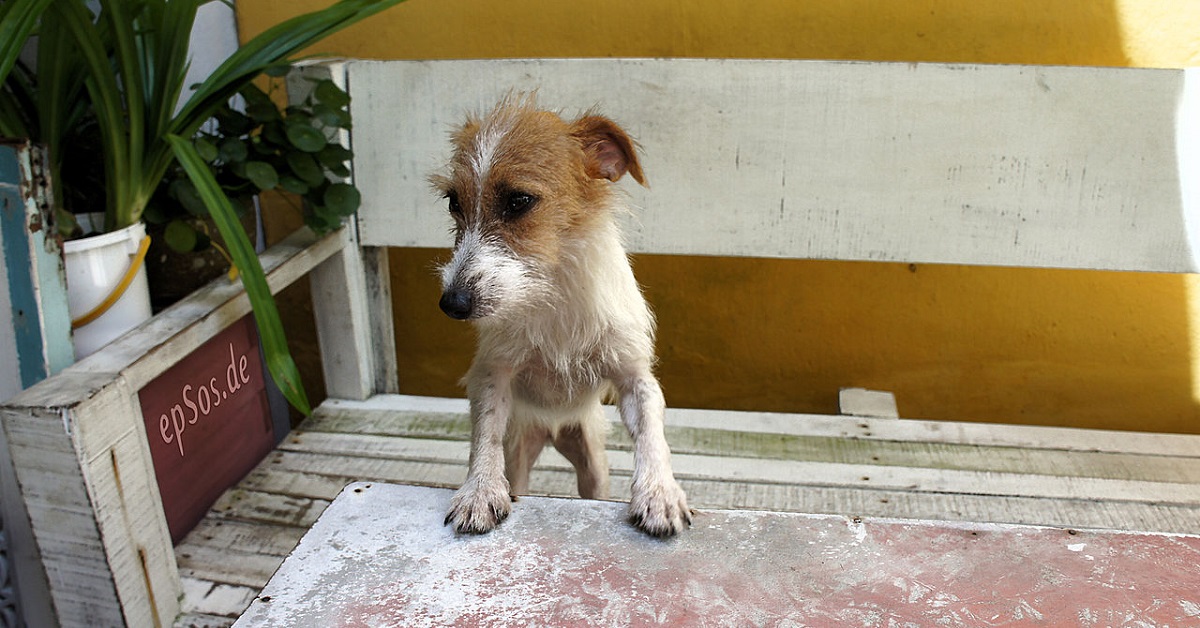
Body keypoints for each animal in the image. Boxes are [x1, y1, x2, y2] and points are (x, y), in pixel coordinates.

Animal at [436, 97, 691, 535]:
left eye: (518, 200)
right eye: (453, 202)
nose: (452, 303)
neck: (551, 291)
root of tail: (551, 430)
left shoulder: (635, 377)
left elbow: (652, 436)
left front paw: (659, 491)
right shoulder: (492, 374)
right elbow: (485, 433)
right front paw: (480, 489)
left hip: (592, 465)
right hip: (520, 453)